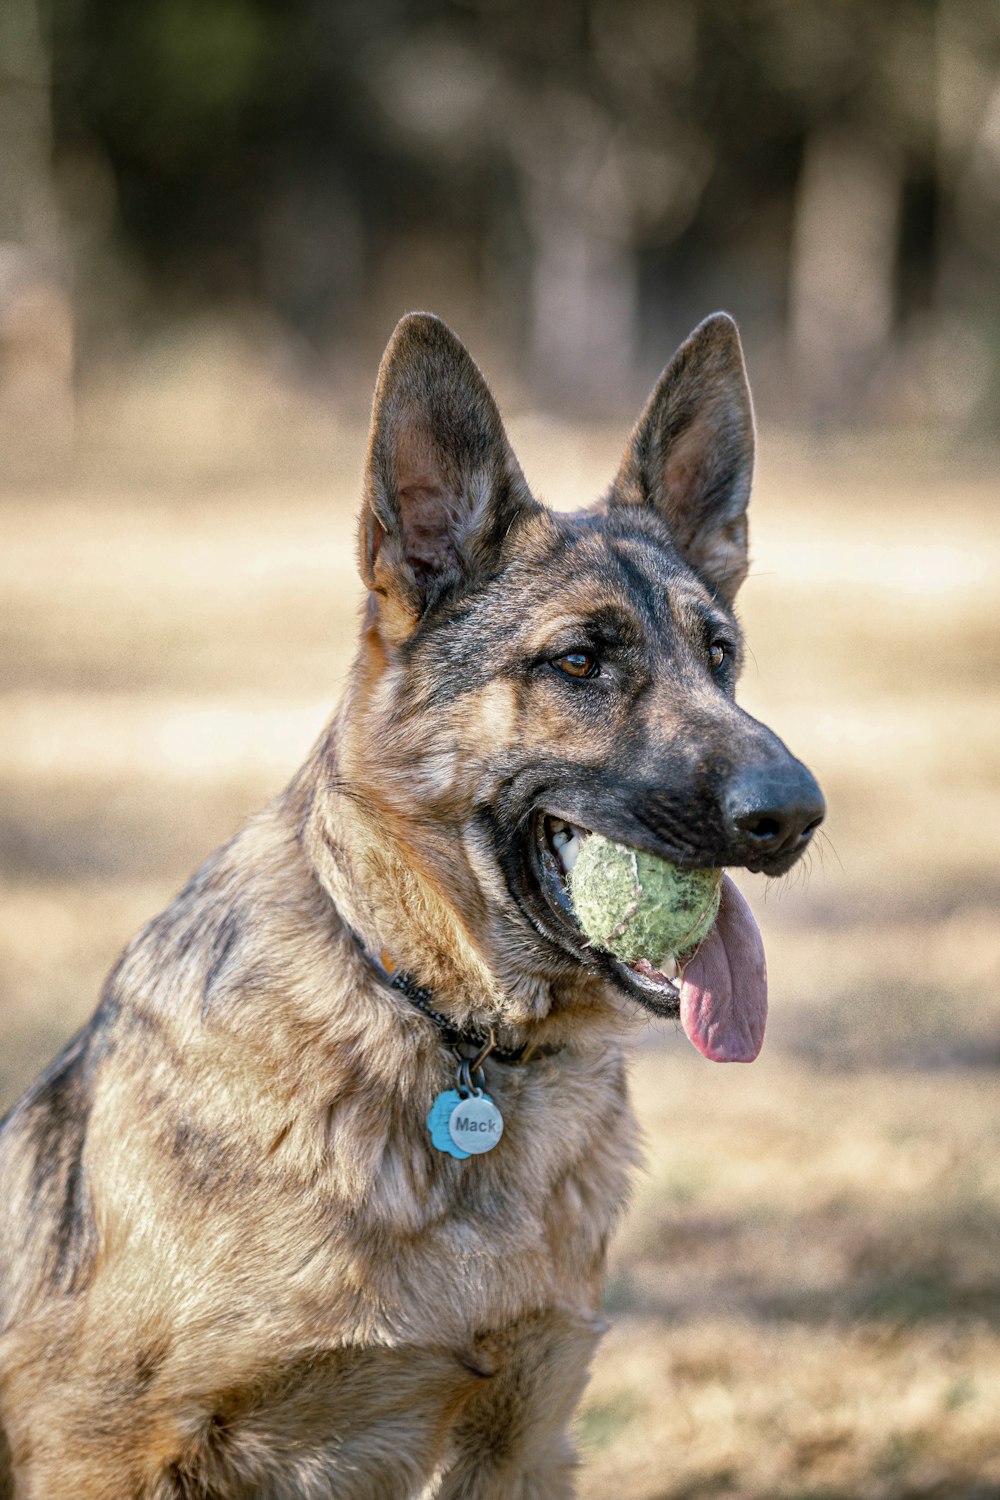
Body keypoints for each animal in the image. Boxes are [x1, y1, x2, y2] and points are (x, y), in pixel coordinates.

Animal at [0, 310, 821, 1494]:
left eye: (721, 657)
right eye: (580, 661)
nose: (795, 815)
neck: (450, 1034)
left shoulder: (522, 1434)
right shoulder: (105, 1449)